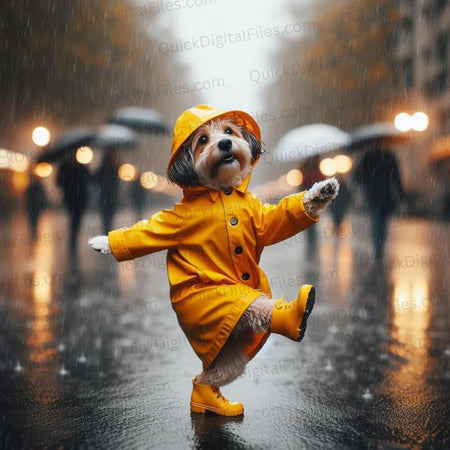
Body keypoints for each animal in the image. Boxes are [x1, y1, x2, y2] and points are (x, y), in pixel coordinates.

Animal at [89, 104, 338, 414]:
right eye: (203, 140)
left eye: (229, 131)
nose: (225, 144)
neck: (222, 191)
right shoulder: (173, 222)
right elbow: (141, 234)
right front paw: (103, 242)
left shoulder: (262, 219)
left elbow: (282, 219)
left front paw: (320, 193)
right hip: (218, 307)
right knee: (254, 309)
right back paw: (295, 316)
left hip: (233, 356)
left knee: (209, 376)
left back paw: (214, 402)